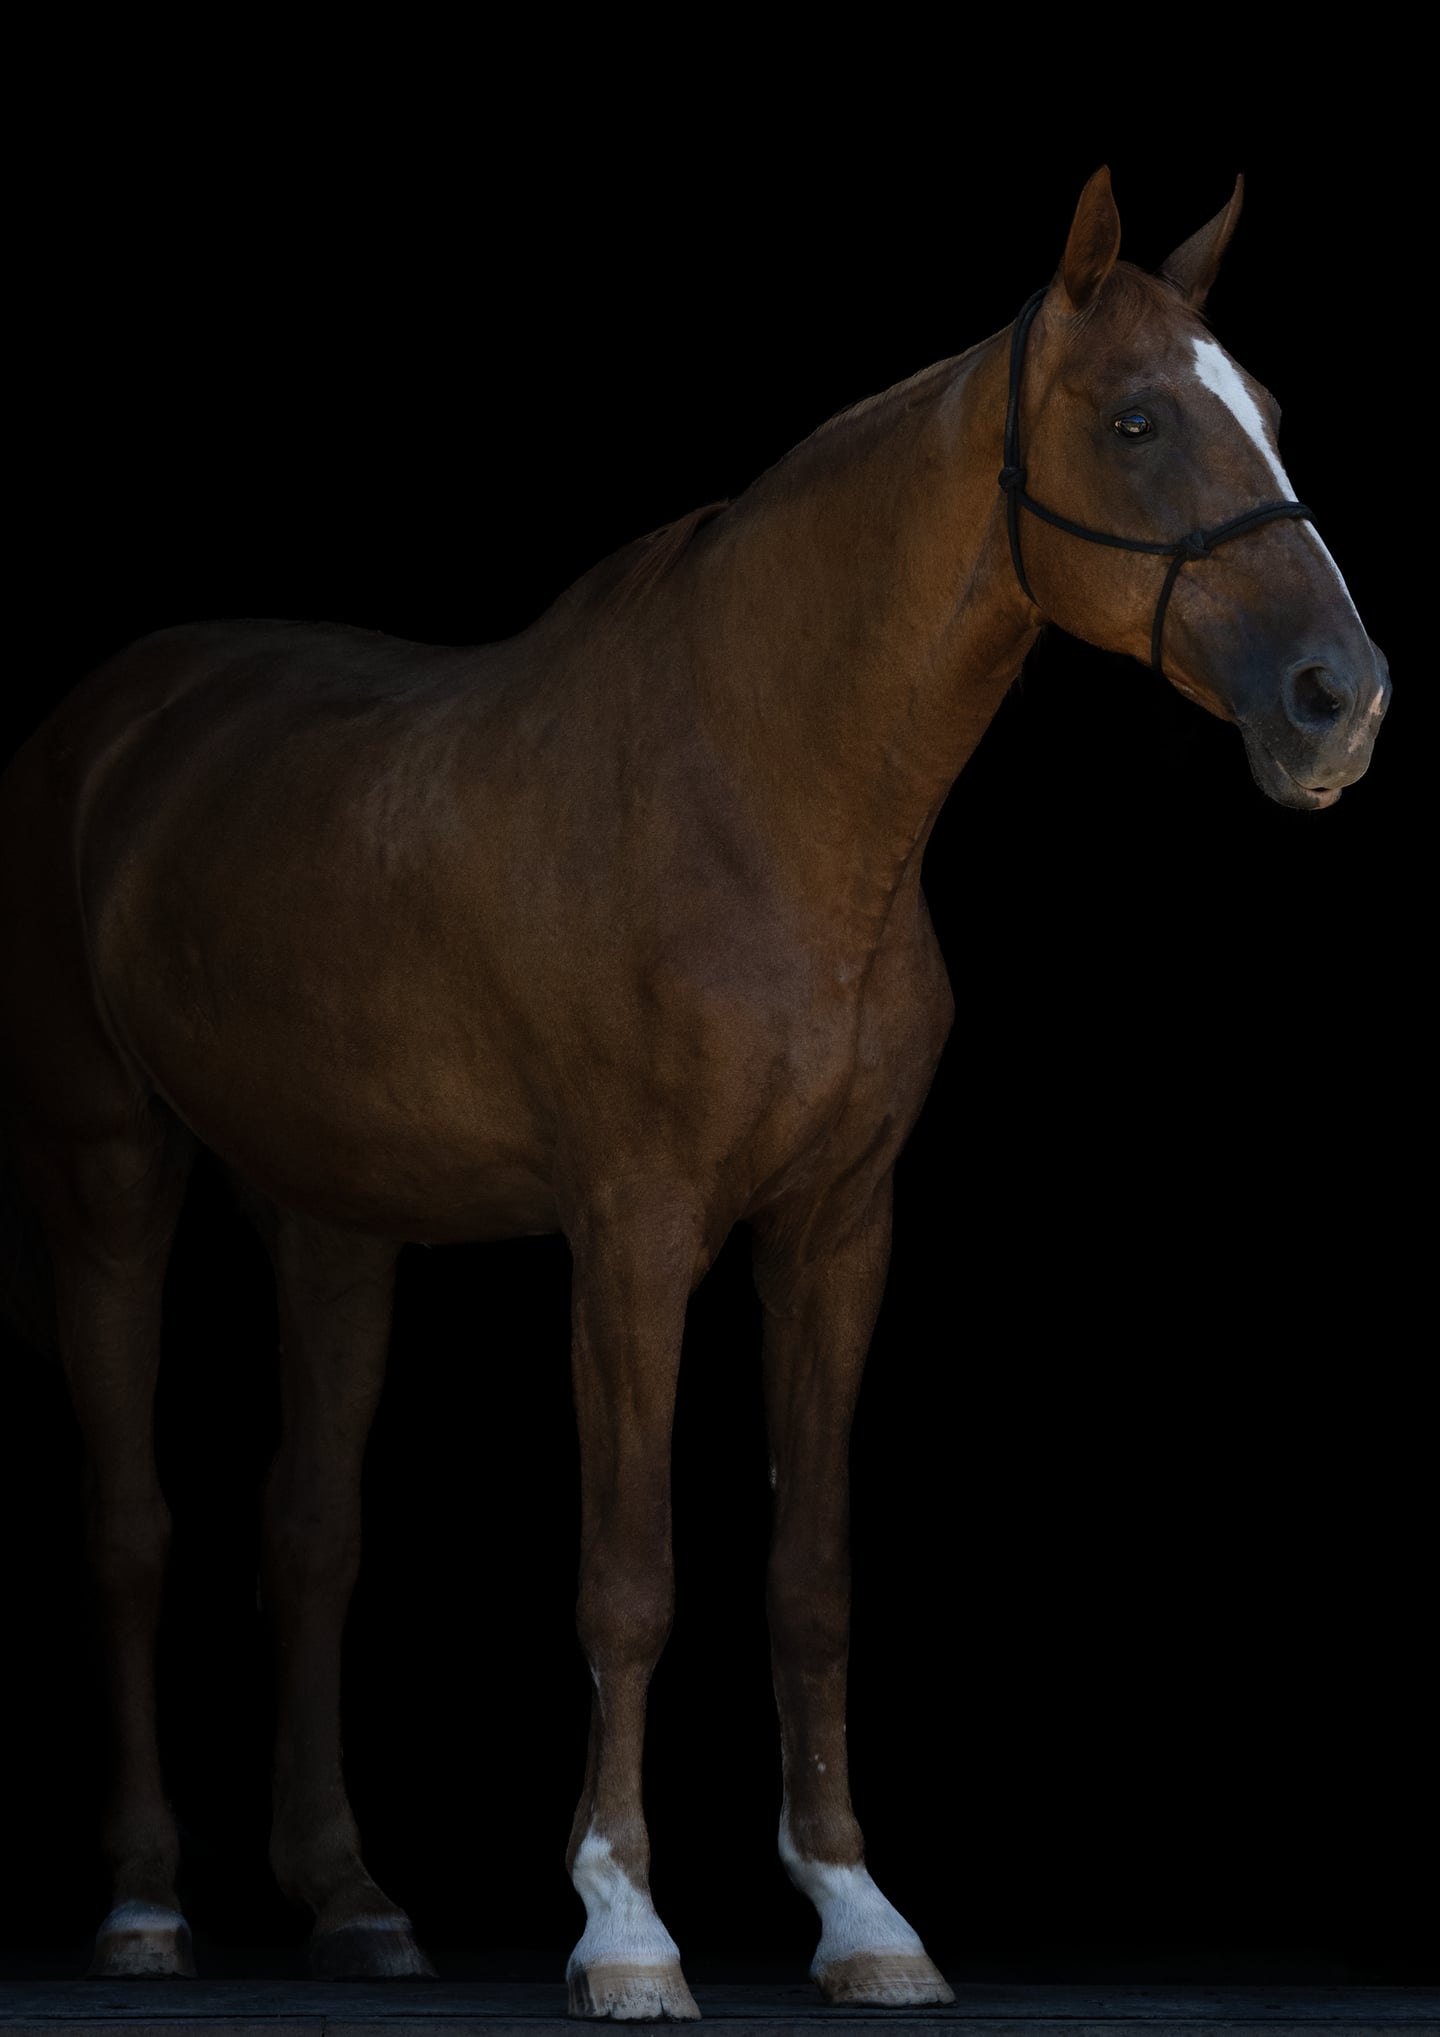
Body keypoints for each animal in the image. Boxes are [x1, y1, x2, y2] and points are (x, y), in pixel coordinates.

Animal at [0, 167, 1389, 2016]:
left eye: (1276, 413)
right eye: (1139, 419)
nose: (1339, 702)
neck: (765, 794)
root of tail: (108, 724)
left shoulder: (838, 1234)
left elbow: (810, 1578)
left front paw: (861, 1913)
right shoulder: (635, 1237)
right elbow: (630, 1576)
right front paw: (624, 1922)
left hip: (332, 1214)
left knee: (308, 1535)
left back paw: (355, 1901)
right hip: (107, 1170)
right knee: (131, 1527)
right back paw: (147, 1905)